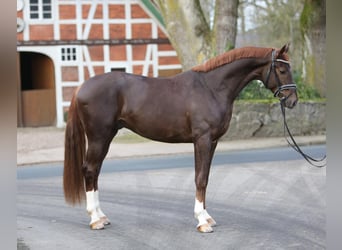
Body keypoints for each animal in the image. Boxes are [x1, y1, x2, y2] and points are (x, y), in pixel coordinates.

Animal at [63, 44, 296, 232]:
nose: (293, 100)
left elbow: (205, 177)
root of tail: (81, 87)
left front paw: (207, 217)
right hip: (99, 137)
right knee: (90, 170)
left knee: (95, 172)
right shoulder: (202, 140)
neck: (211, 88)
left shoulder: (212, 142)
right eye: (282, 70)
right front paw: (202, 221)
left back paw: (102, 216)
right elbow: (200, 178)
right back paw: (95, 220)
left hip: (106, 137)